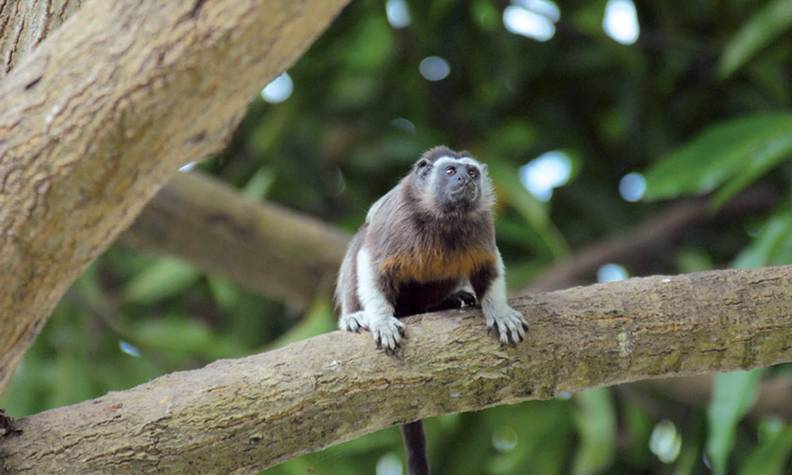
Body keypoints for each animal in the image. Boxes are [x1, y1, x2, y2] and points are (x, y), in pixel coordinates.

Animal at [332, 145, 524, 475]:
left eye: (471, 172)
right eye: (451, 171)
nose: (464, 179)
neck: (443, 219)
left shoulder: (482, 224)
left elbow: (488, 265)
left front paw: (499, 311)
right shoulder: (395, 220)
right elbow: (371, 259)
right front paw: (381, 320)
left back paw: (446, 302)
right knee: (361, 240)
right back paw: (355, 316)